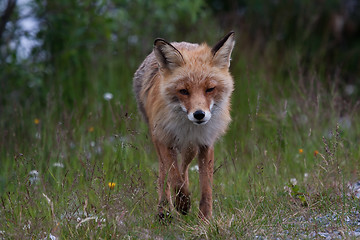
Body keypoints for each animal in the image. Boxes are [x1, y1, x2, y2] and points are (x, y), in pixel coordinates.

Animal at [134, 31, 235, 221]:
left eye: (210, 89)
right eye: (183, 91)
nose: (199, 114)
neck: (188, 128)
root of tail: (179, 42)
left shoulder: (205, 143)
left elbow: (206, 187)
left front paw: (205, 219)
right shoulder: (165, 139)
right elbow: (174, 179)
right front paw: (182, 204)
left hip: (190, 148)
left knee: (184, 167)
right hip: (158, 139)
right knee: (164, 173)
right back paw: (164, 210)